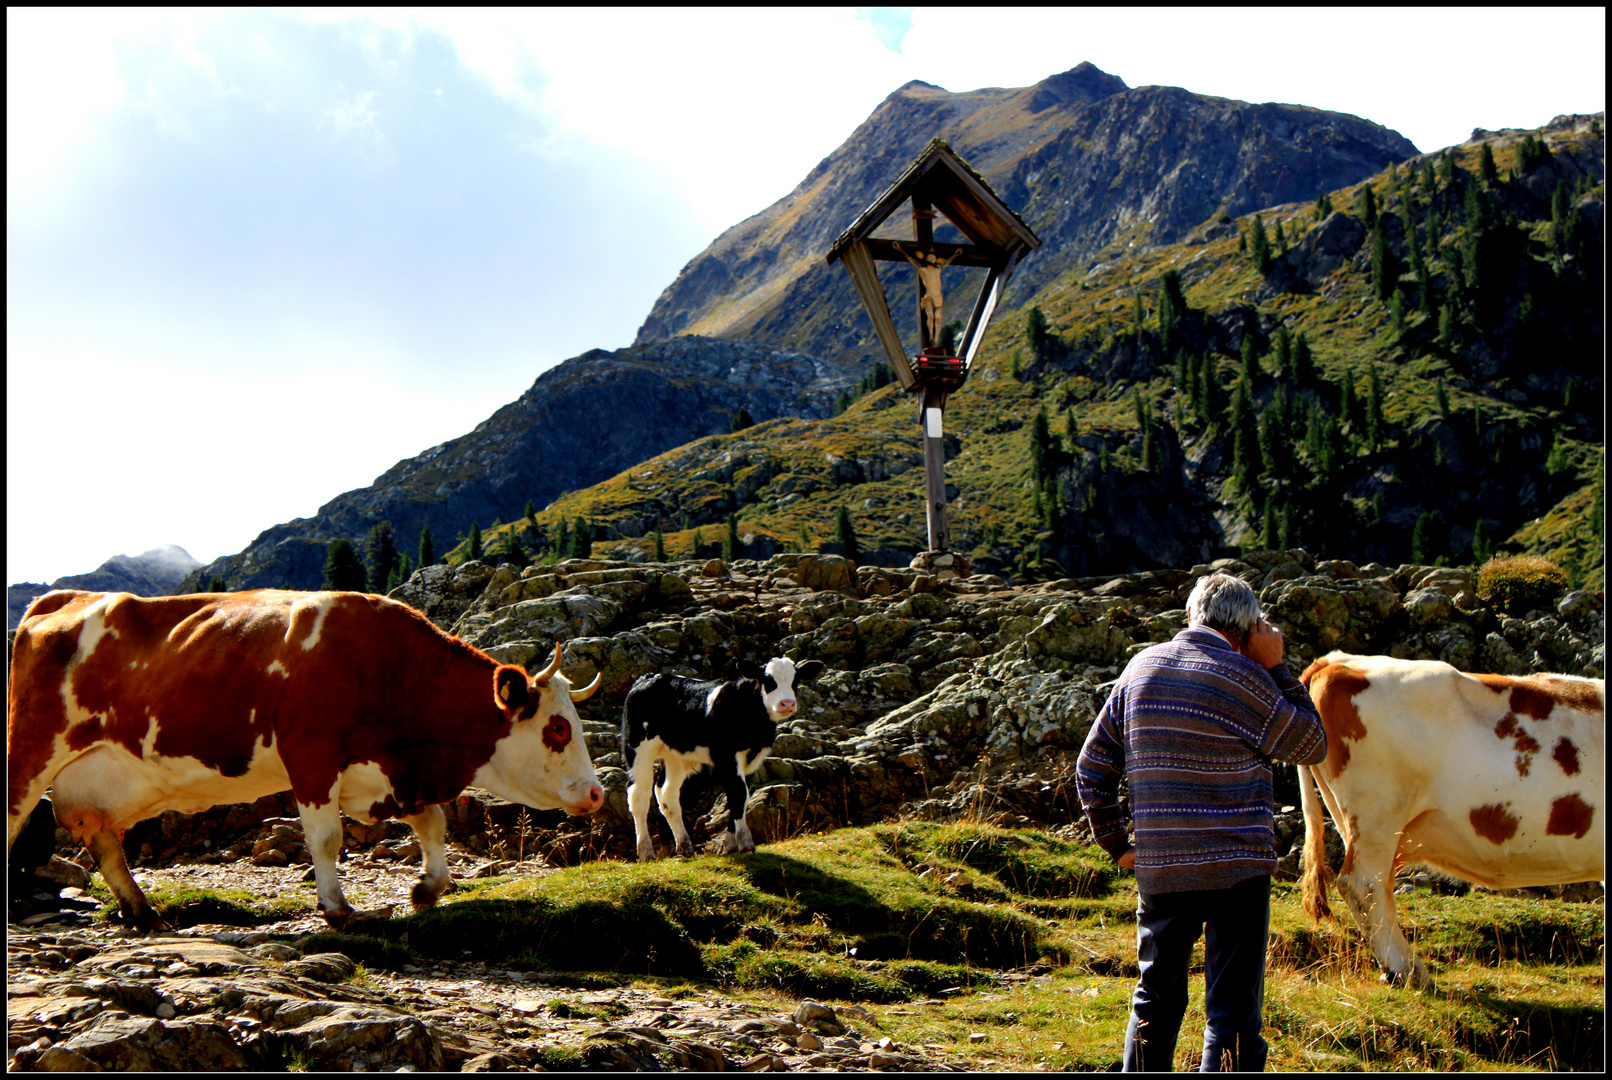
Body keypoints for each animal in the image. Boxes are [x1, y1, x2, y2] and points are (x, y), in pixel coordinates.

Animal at [9, 586, 602, 934]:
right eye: (557, 727)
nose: (597, 794)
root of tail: (58, 599)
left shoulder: (388, 771)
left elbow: (433, 826)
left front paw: (426, 888)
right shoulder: (312, 754)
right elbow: (326, 838)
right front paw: (337, 908)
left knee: (106, 843)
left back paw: (140, 909)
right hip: (32, 751)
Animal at [615, 660, 818, 864]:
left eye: (795, 680)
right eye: (768, 680)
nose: (787, 703)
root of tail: (649, 677)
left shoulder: (752, 760)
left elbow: (740, 799)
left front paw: (731, 845)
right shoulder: (725, 757)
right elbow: (738, 794)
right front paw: (746, 844)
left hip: (676, 756)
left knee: (666, 794)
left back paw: (685, 847)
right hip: (637, 749)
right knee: (638, 796)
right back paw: (645, 852)